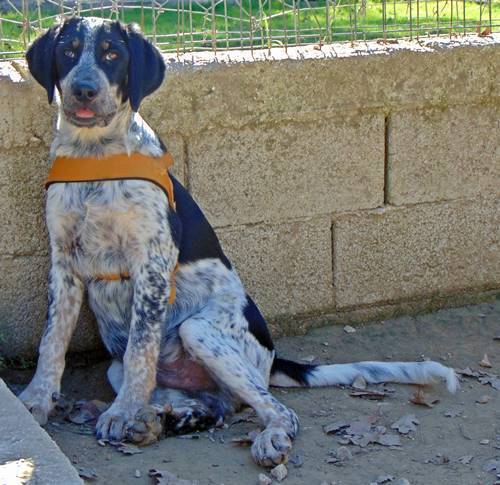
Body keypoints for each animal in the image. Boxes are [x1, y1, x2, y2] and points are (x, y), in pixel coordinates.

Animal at [19, 16, 458, 467]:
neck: (95, 158)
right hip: (122, 368)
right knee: (215, 406)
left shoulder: (153, 266)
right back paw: (161, 421)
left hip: (199, 330)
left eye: (112, 54)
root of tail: (271, 359)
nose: (84, 89)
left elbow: (141, 349)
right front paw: (37, 400)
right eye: (68, 51)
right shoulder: (64, 265)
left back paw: (263, 436)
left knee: (275, 409)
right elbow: (51, 342)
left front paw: (122, 413)